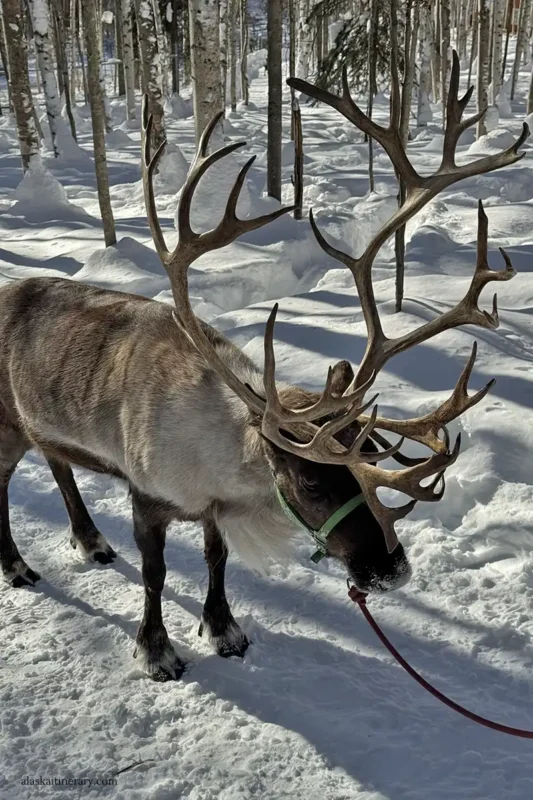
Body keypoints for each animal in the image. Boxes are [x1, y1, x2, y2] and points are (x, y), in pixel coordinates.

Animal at [0, 52, 527, 681]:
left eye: (374, 457)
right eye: (311, 479)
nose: (392, 570)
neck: (226, 465)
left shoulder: (211, 509)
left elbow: (216, 558)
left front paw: (224, 629)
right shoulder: (147, 496)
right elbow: (155, 574)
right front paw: (156, 650)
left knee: (58, 464)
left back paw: (91, 541)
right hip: (5, 424)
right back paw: (18, 566)